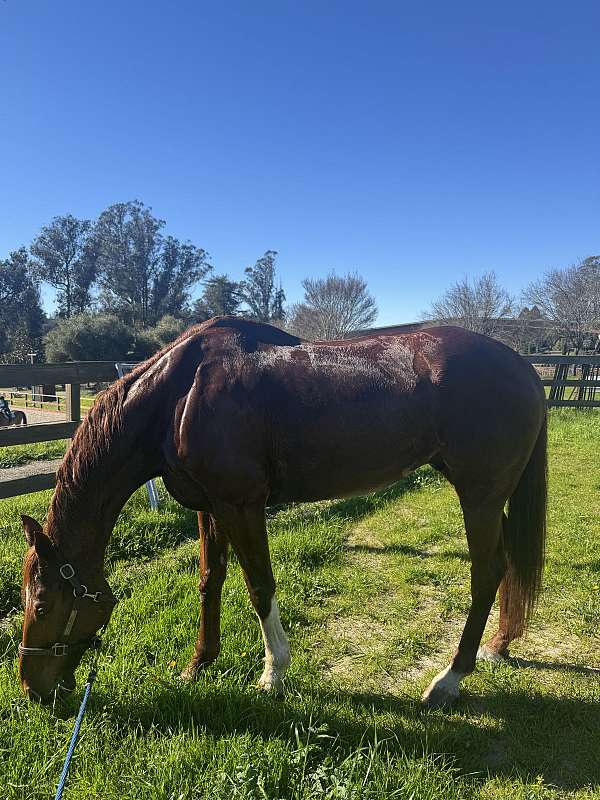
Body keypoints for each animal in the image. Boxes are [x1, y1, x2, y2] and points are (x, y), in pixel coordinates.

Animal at [18, 316, 547, 708]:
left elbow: (259, 585)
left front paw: (273, 673)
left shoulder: (241, 505)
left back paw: (450, 679)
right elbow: (211, 579)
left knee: (487, 572)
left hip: (479, 497)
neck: (180, 396)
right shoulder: (211, 507)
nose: (32, 688)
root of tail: (523, 366)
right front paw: (198, 663)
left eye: (42, 605)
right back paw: (498, 646)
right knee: (507, 566)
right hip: (490, 499)